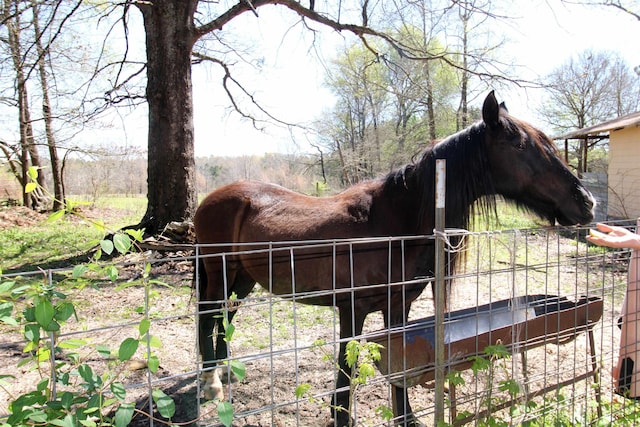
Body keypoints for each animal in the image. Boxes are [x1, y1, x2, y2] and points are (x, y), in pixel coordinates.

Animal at [195, 92, 596, 426]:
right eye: (519, 144)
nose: (587, 202)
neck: (392, 224)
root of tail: (212, 198)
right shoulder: (352, 309)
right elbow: (346, 371)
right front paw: (341, 416)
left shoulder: (398, 307)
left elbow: (399, 369)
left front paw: (407, 418)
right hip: (218, 271)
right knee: (207, 315)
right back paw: (210, 381)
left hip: (244, 278)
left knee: (225, 315)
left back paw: (225, 371)